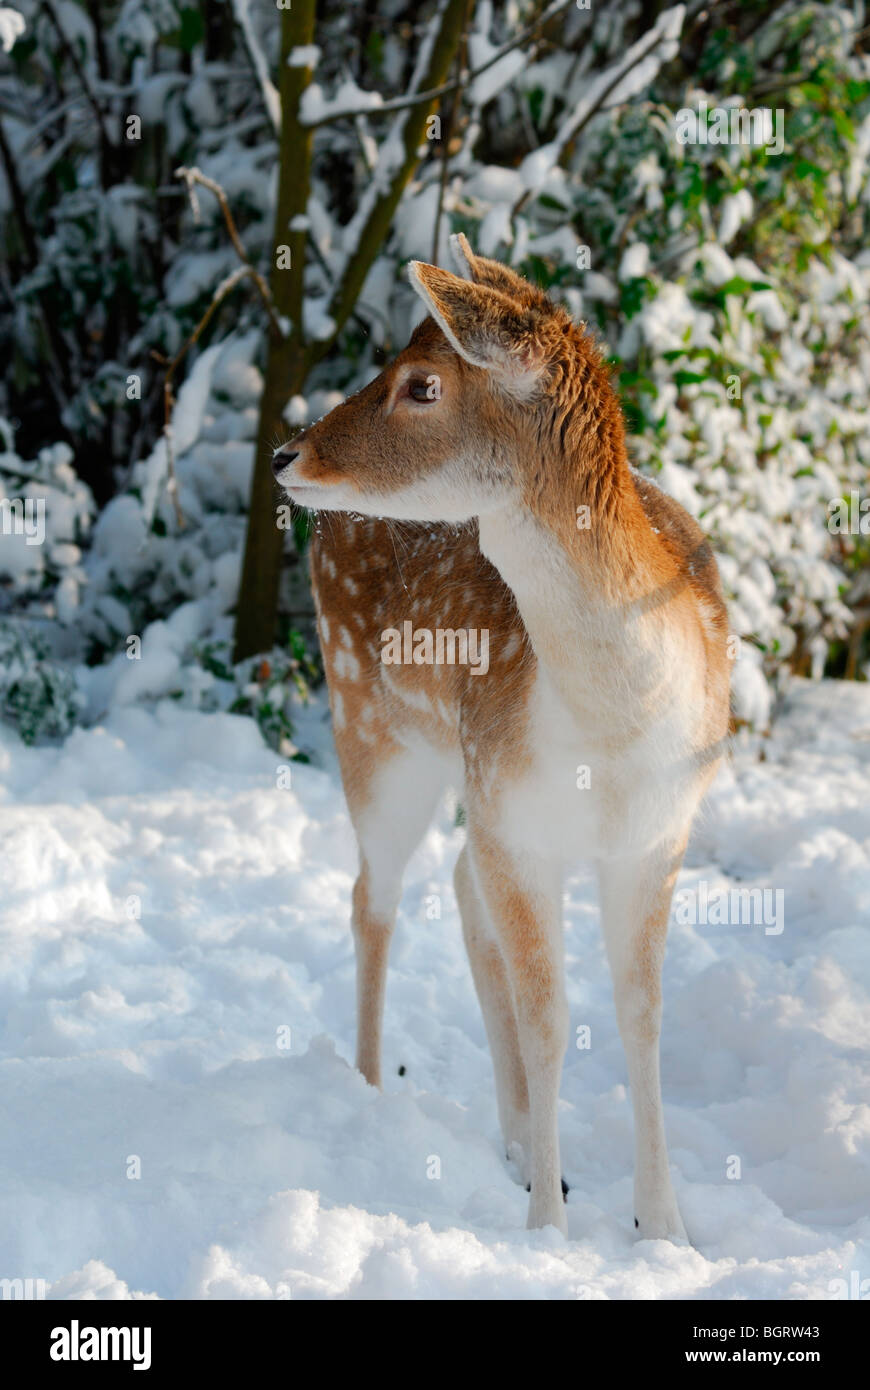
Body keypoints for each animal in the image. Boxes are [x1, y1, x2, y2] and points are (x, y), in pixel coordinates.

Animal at [272, 236, 733, 1239]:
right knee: (374, 895)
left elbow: (641, 1014)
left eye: (423, 384)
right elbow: (551, 1015)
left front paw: (664, 1230)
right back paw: (371, 1091)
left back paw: (521, 1144)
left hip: (461, 776)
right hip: (374, 729)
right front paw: (550, 1235)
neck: (615, 730)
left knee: (453, 882)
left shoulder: (656, 832)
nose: (287, 451)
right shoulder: (518, 820)